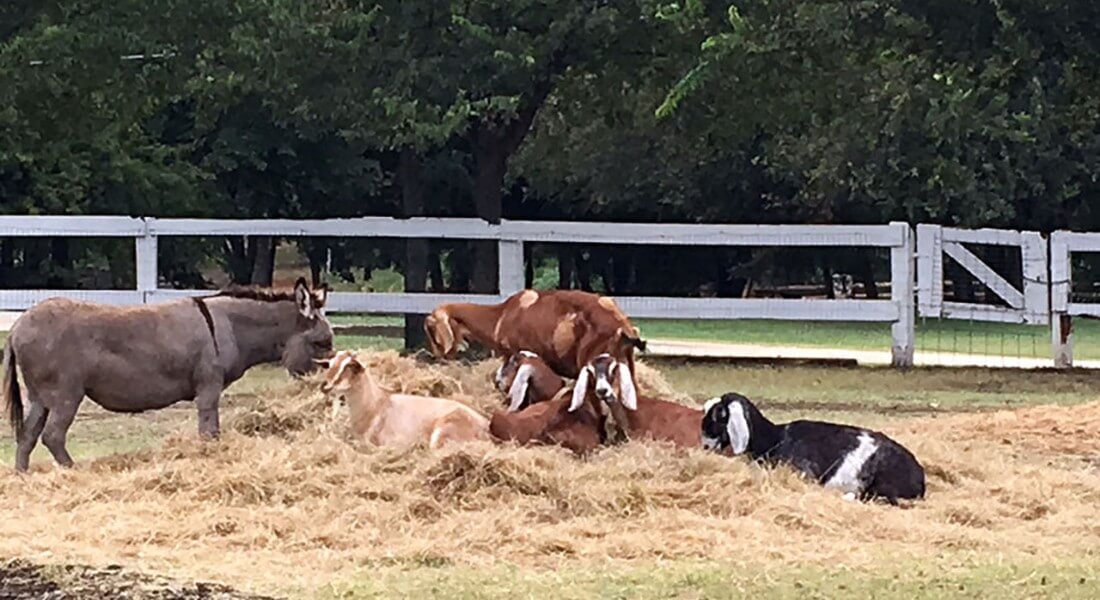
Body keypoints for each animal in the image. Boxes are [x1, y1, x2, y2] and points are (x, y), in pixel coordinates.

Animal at [2, 278, 332, 471]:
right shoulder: (209, 385)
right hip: (67, 394)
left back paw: (22, 476)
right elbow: (209, 430)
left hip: (40, 396)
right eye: (322, 343)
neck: (230, 326)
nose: (326, 388)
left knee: (27, 435)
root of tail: (17, 326)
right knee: (52, 435)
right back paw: (74, 471)